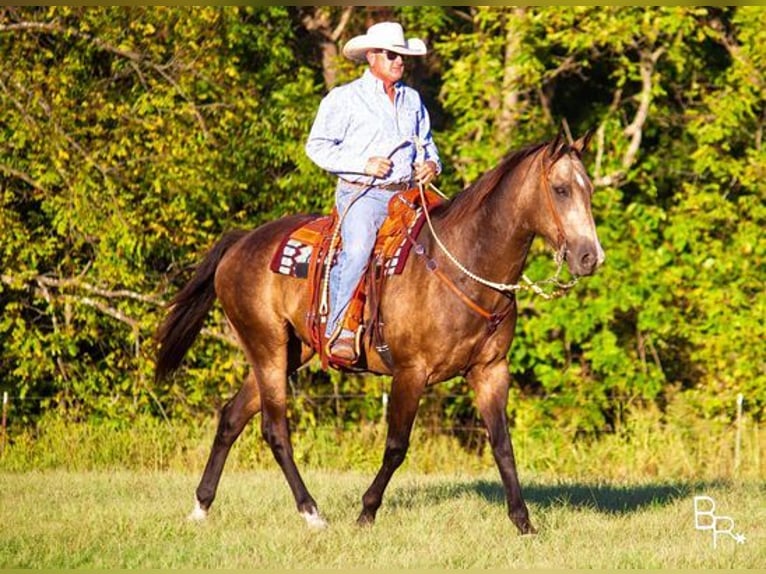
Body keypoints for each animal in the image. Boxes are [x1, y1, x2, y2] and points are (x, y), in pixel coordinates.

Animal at [153, 133, 604, 536]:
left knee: (232, 417)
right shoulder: (411, 372)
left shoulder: (491, 371)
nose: (590, 257)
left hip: (289, 353)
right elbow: (396, 446)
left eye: (589, 190)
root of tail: (239, 242)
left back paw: (201, 506)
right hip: (268, 347)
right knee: (275, 428)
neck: (464, 265)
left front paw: (523, 522)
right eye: (561, 189)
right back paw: (311, 513)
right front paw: (366, 512)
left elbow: (503, 446)